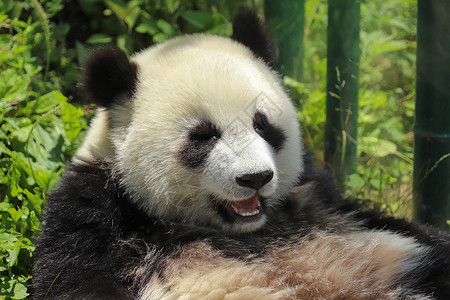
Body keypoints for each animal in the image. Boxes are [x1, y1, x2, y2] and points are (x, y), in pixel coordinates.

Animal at [34, 10, 450, 298]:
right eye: (203, 137)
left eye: (262, 125)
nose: (256, 178)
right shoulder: (93, 212)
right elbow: (72, 278)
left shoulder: (320, 200)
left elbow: (390, 221)